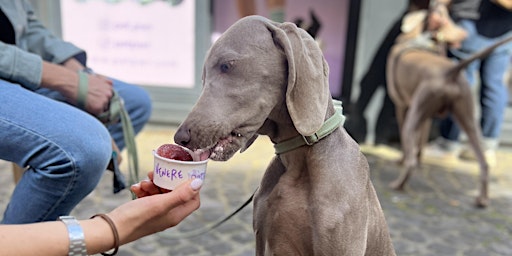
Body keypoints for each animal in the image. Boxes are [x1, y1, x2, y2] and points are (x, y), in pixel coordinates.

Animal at [386, 12, 512, 208]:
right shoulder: (426, 117)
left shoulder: (402, 106)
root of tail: (451, 71)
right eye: (448, 20)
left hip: (414, 115)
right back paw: (482, 200)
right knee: (484, 163)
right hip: (467, 117)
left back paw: (399, 184)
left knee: (410, 159)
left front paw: (401, 159)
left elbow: (409, 147)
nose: (464, 33)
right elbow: (420, 141)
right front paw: (420, 157)